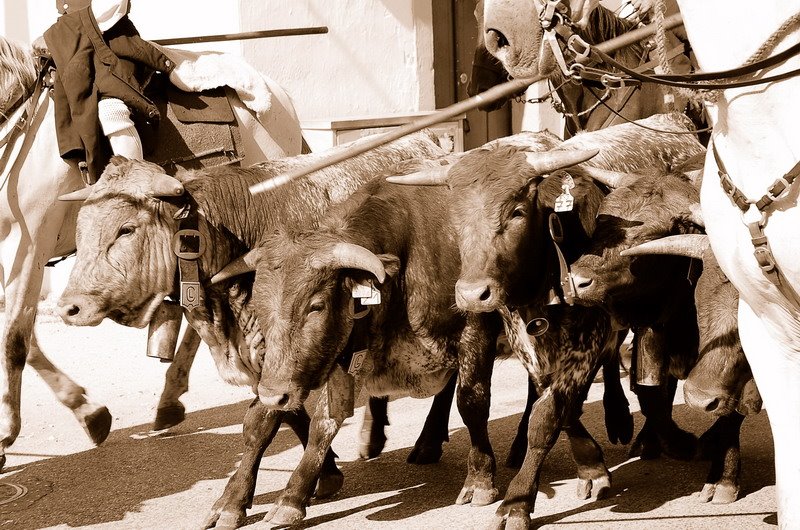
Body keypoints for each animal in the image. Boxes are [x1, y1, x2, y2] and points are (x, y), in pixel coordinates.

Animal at [0, 37, 304, 466]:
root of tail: (279, 97)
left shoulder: (27, 248)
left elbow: (14, 339)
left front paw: (7, 431)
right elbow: (26, 341)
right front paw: (88, 411)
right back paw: (170, 398)